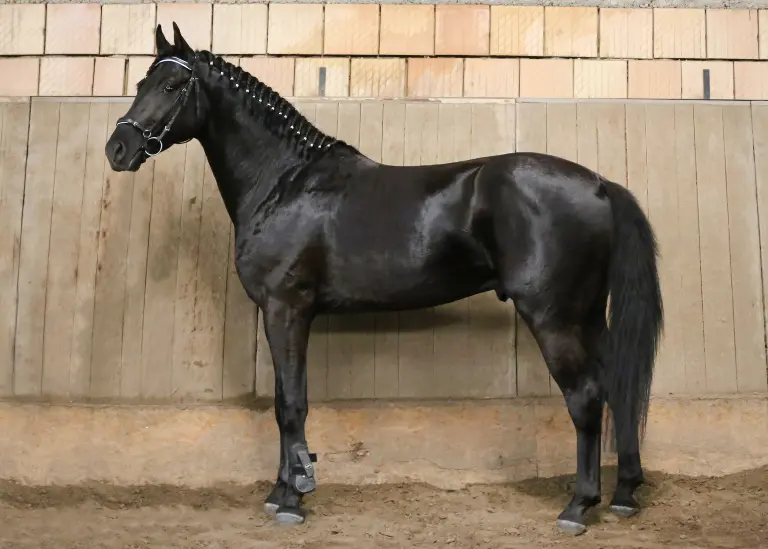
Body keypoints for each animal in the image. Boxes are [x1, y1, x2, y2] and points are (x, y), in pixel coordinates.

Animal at [105, 23, 663, 535]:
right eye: (141, 81)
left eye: (172, 86)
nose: (118, 148)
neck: (286, 184)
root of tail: (599, 185)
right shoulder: (285, 313)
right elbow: (286, 403)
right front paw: (281, 491)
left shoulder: (287, 309)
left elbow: (291, 404)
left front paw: (292, 499)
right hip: (587, 315)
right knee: (616, 385)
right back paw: (625, 494)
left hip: (554, 317)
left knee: (585, 395)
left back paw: (578, 506)